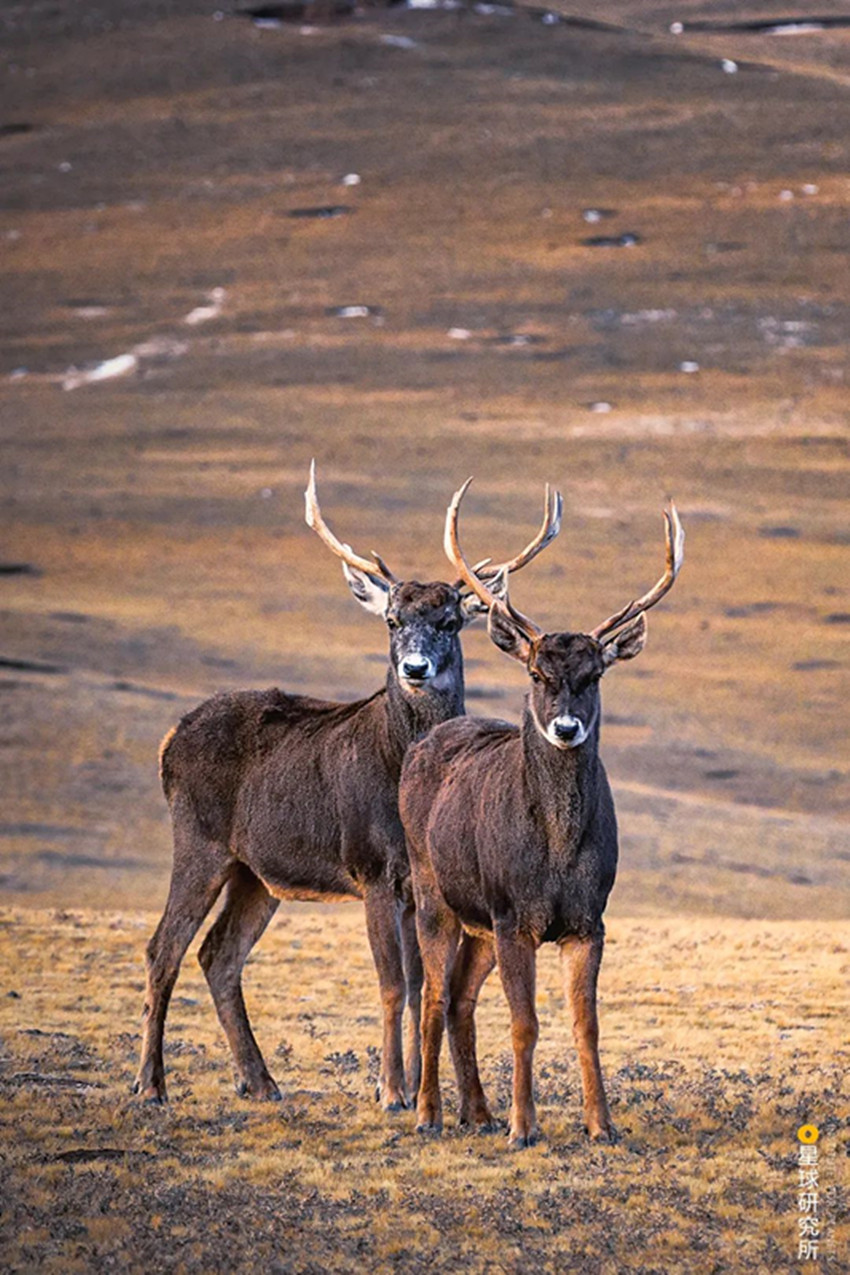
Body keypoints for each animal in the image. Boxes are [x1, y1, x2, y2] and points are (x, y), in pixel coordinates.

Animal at [133, 464, 560, 1111]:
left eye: (450, 621)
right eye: (392, 620)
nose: (415, 668)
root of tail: (167, 743)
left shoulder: (416, 880)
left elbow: (420, 983)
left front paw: (418, 1085)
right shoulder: (371, 866)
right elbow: (392, 984)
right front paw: (392, 1090)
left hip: (256, 872)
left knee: (218, 953)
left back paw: (260, 1081)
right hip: (199, 839)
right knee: (164, 947)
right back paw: (150, 1083)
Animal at [400, 481, 683, 1152]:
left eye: (595, 673)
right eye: (536, 671)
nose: (566, 727)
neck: (554, 850)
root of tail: (422, 744)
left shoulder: (588, 920)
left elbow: (587, 1026)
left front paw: (601, 1125)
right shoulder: (513, 914)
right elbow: (524, 1023)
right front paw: (524, 1128)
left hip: (477, 920)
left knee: (458, 998)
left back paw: (477, 1112)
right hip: (432, 891)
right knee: (431, 996)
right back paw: (428, 1113)